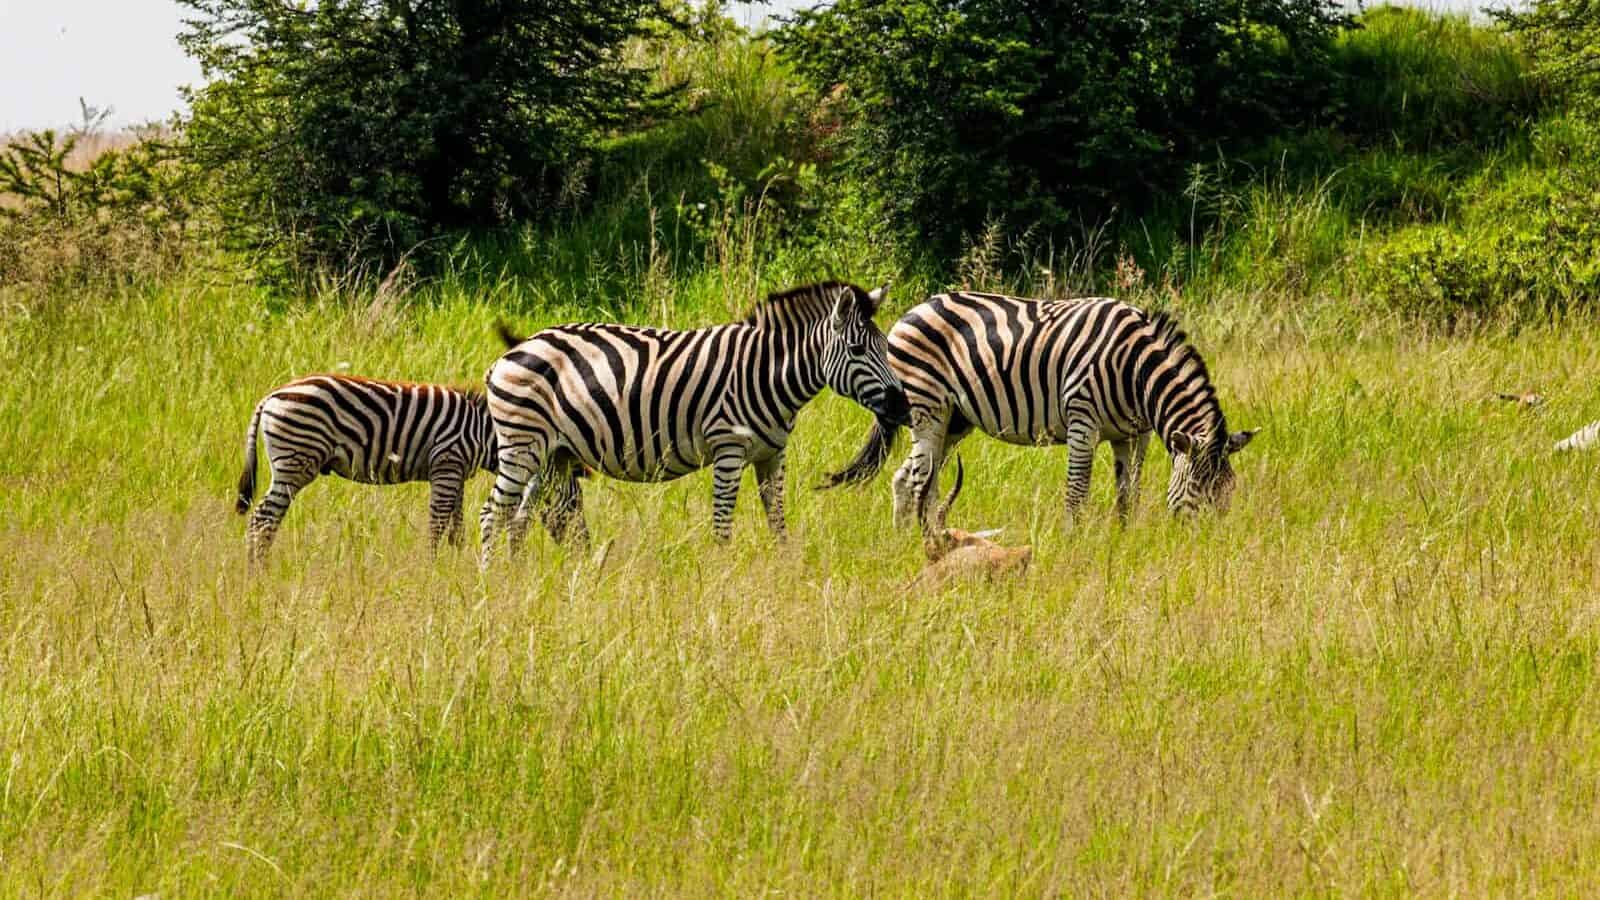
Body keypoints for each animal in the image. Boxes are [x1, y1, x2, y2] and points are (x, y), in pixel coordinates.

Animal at [236, 375, 498, 562]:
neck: (482, 431)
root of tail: (272, 395)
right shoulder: (447, 463)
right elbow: (438, 523)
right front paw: (431, 568)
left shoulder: (457, 472)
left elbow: (457, 528)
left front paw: (454, 566)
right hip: (296, 461)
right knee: (263, 518)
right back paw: (259, 573)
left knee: (263, 519)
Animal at [479, 281, 911, 554]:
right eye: (857, 350)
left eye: (885, 346)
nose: (903, 407)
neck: (764, 372)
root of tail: (511, 353)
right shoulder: (729, 449)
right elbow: (722, 525)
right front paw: (722, 581)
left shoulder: (773, 454)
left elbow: (778, 522)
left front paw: (783, 570)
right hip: (521, 445)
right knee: (492, 513)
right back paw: (493, 584)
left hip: (550, 455)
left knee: (519, 519)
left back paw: (518, 579)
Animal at [821, 292, 1256, 528]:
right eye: (1198, 487)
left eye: (1231, 489)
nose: (1209, 543)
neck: (1136, 370)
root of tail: (910, 312)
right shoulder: (1083, 422)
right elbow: (1077, 492)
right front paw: (1073, 545)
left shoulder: (1134, 434)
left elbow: (1127, 492)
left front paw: (1124, 538)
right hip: (927, 409)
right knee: (911, 480)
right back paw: (911, 540)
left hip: (954, 420)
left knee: (915, 480)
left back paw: (918, 539)